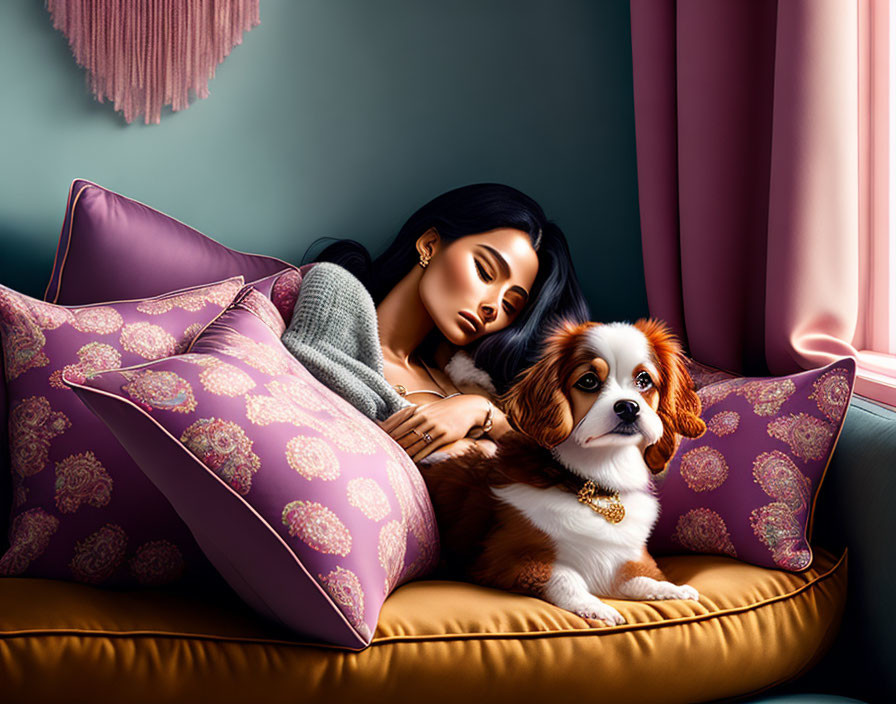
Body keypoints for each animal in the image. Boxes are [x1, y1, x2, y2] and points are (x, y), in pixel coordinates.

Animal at [420, 320, 708, 628]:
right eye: (588, 381)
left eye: (644, 380)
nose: (629, 407)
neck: (596, 476)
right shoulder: (500, 559)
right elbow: (563, 576)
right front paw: (596, 607)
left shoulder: (622, 559)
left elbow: (640, 577)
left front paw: (672, 589)